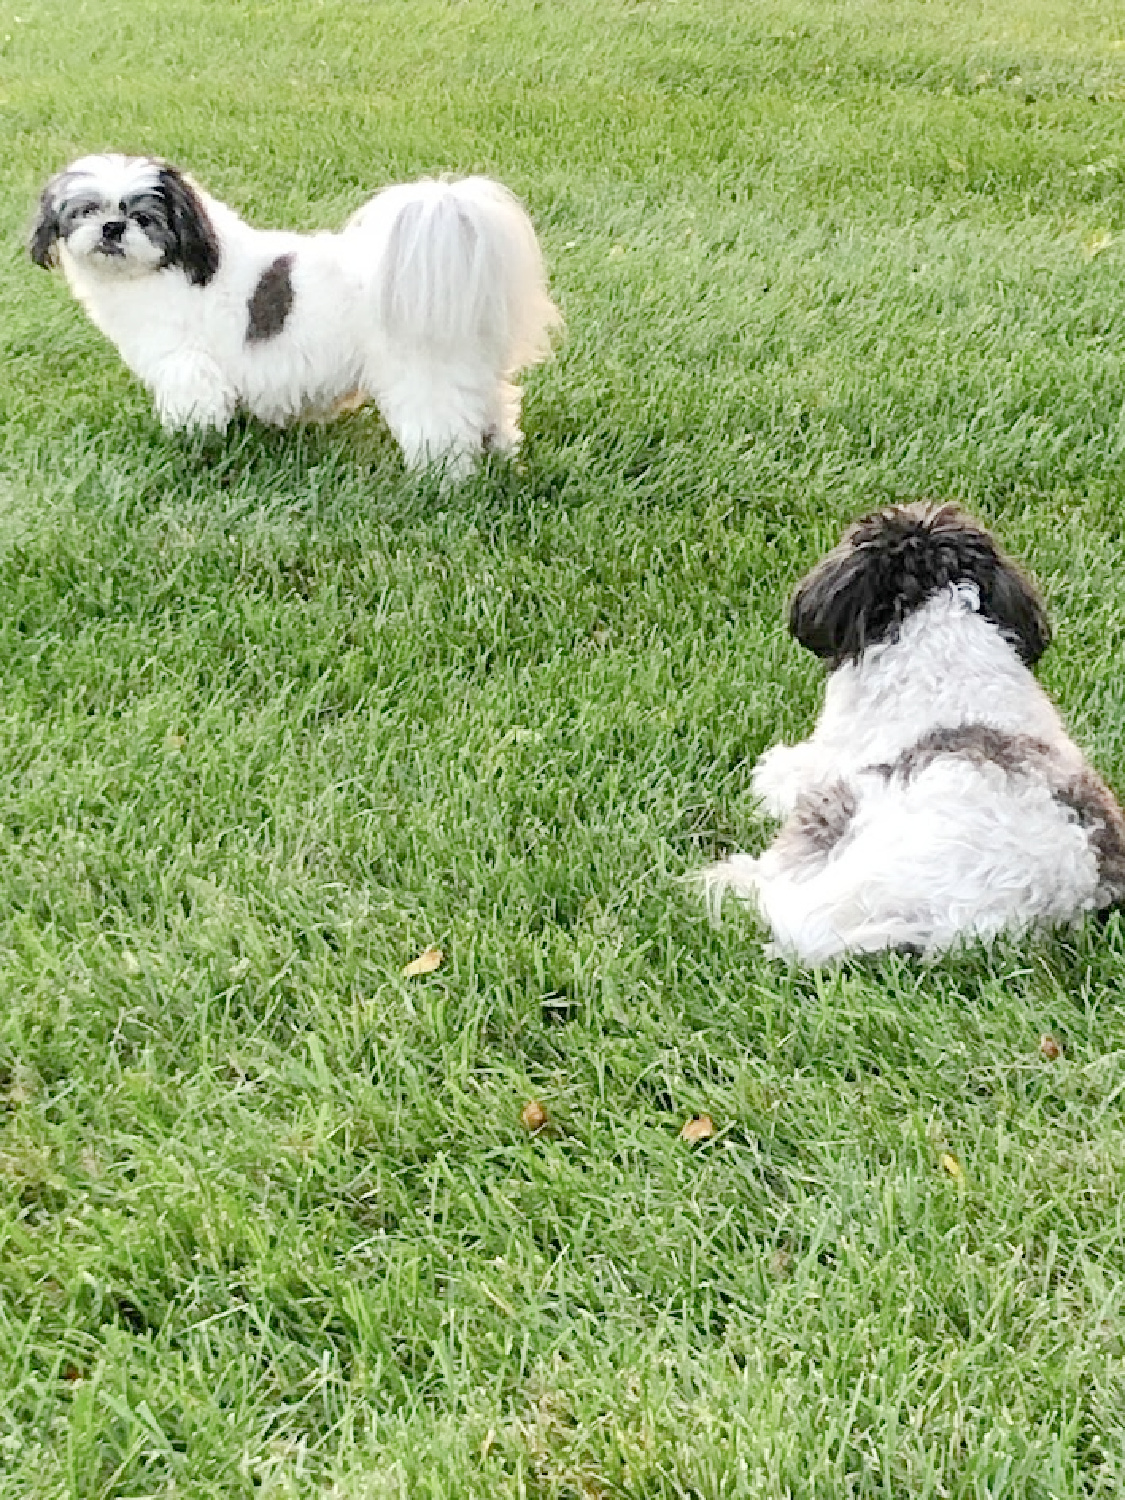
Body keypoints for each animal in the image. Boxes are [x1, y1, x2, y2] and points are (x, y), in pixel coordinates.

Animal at [31, 154, 564, 471]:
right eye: (84, 210)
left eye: (145, 217)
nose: (112, 227)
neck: (176, 266)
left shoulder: (187, 366)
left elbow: (194, 411)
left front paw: (190, 446)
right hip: (473, 372)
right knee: (495, 412)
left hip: (424, 376)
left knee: (444, 428)